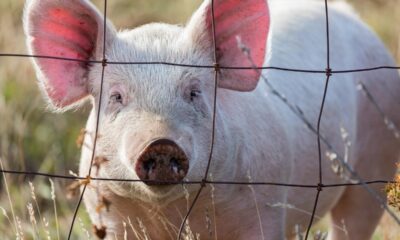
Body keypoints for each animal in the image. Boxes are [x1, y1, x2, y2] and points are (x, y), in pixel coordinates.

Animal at [24, 0, 400, 239]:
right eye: (116, 97)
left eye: (194, 92)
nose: (161, 144)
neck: (171, 214)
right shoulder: (109, 216)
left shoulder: (264, 210)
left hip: (375, 166)